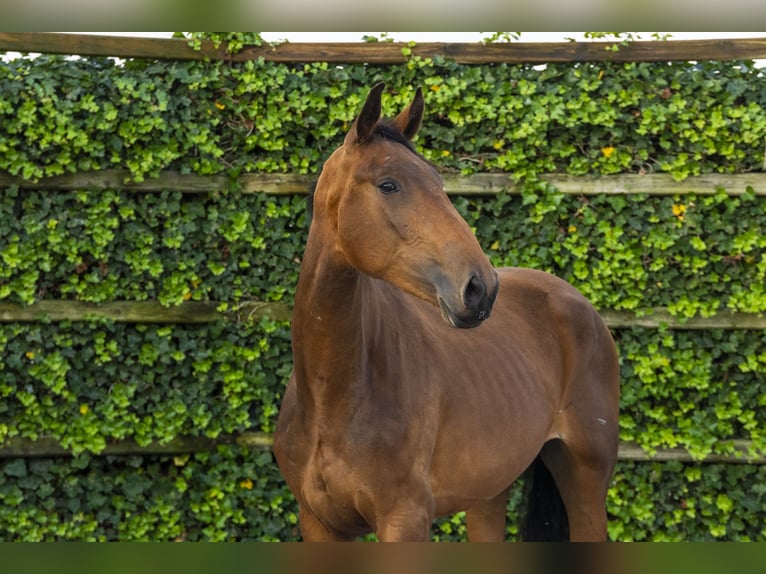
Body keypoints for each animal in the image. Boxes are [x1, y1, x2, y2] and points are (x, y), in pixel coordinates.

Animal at [273, 82, 620, 542]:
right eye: (388, 185)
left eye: (438, 182)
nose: (480, 288)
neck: (334, 397)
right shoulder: (319, 525)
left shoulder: (405, 520)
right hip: (489, 492)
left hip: (585, 481)